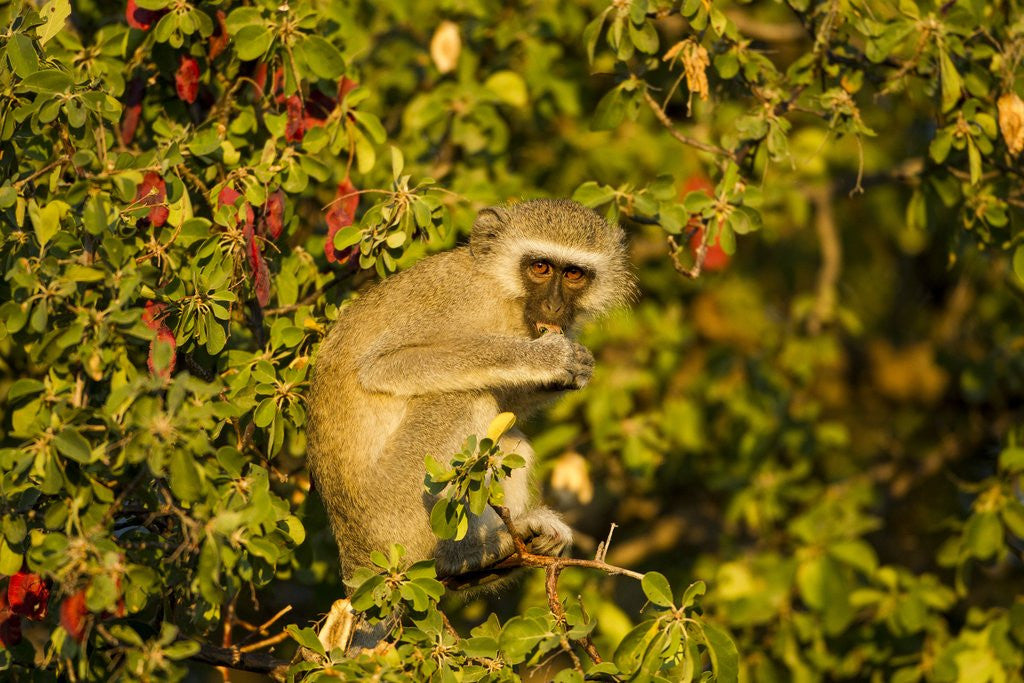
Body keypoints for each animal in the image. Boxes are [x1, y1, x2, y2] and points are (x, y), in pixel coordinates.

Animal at [306, 199, 635, 590]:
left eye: (573, 274)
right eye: (540, 267)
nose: (555, 307)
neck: (504, 294)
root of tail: (353, 554)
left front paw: (574, 368)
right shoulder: (456, 301)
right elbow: (384, 365)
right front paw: (548, 358)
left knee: (510, 439)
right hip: (391, 512)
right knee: (465, 399)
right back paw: (458, 557)